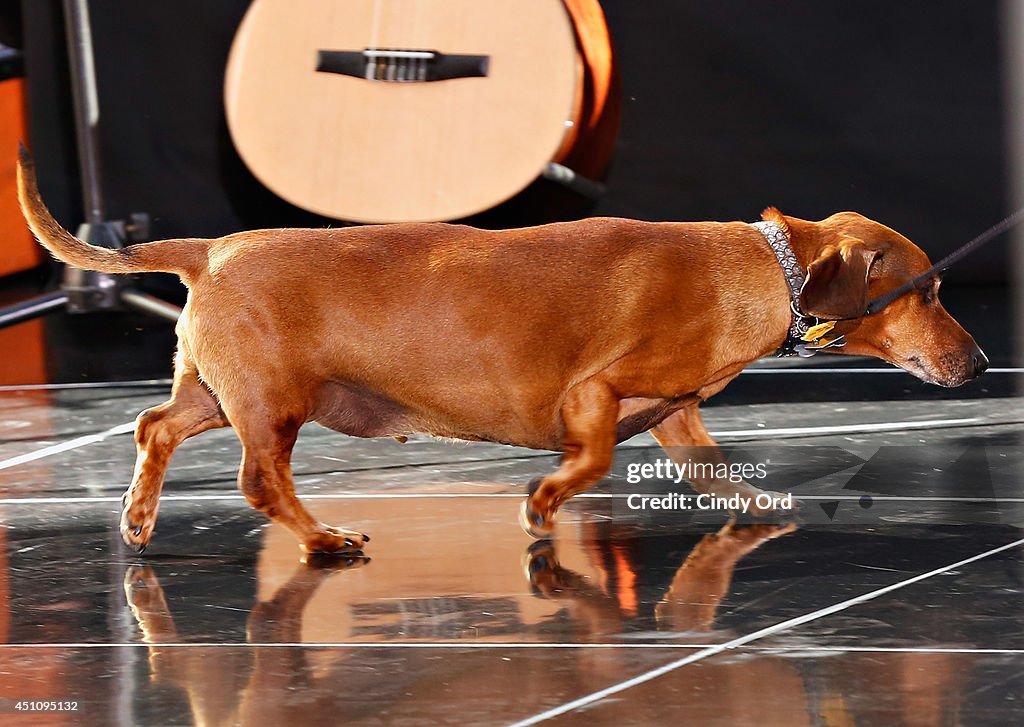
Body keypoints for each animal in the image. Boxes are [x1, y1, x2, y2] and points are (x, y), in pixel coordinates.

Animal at [18, 150, 983, 557]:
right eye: (930, 291)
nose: (976, 367)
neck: (760, 265)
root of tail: (210, 248)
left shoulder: (676, 417)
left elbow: (713, 474)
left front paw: (755, 508)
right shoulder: (596, 395)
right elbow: (587, 462)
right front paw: (540, 506)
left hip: (220, 393)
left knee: (152, 425)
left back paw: (139, 519)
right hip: (271, 404)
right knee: (259, 482)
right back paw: (325, 537)